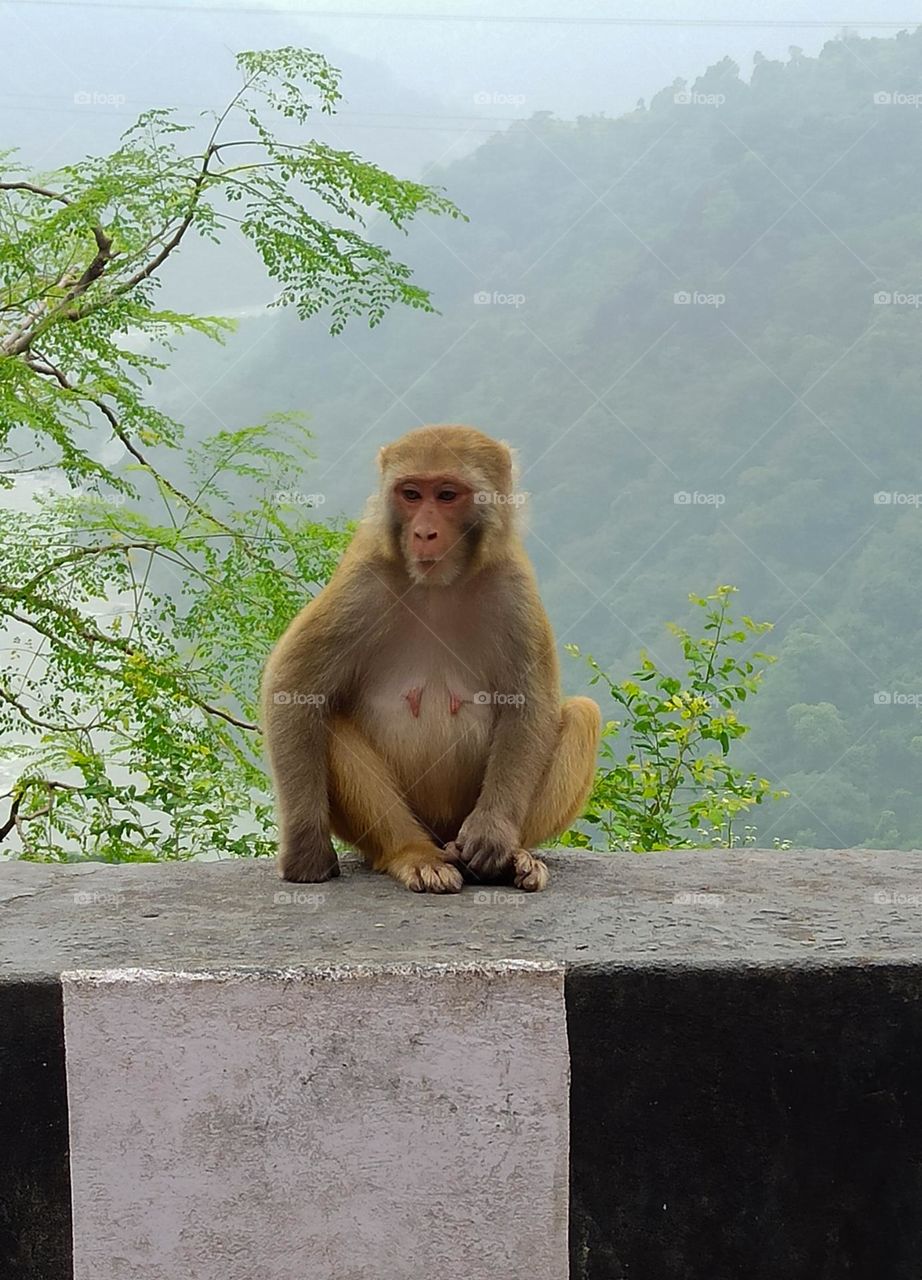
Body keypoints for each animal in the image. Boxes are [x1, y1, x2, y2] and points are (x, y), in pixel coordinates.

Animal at [260, 424, 601, 894]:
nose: (424, 533)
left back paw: (512, 856)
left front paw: (493, 834)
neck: (441, 584)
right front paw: (305, 851)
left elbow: (530, 706)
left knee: (583, 713)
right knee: (329, 721)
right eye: (410, 494)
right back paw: (413, 854)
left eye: (446, 495)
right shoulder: (362, 580)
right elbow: (295, 687)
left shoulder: (513, 587)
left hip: (463, 823)